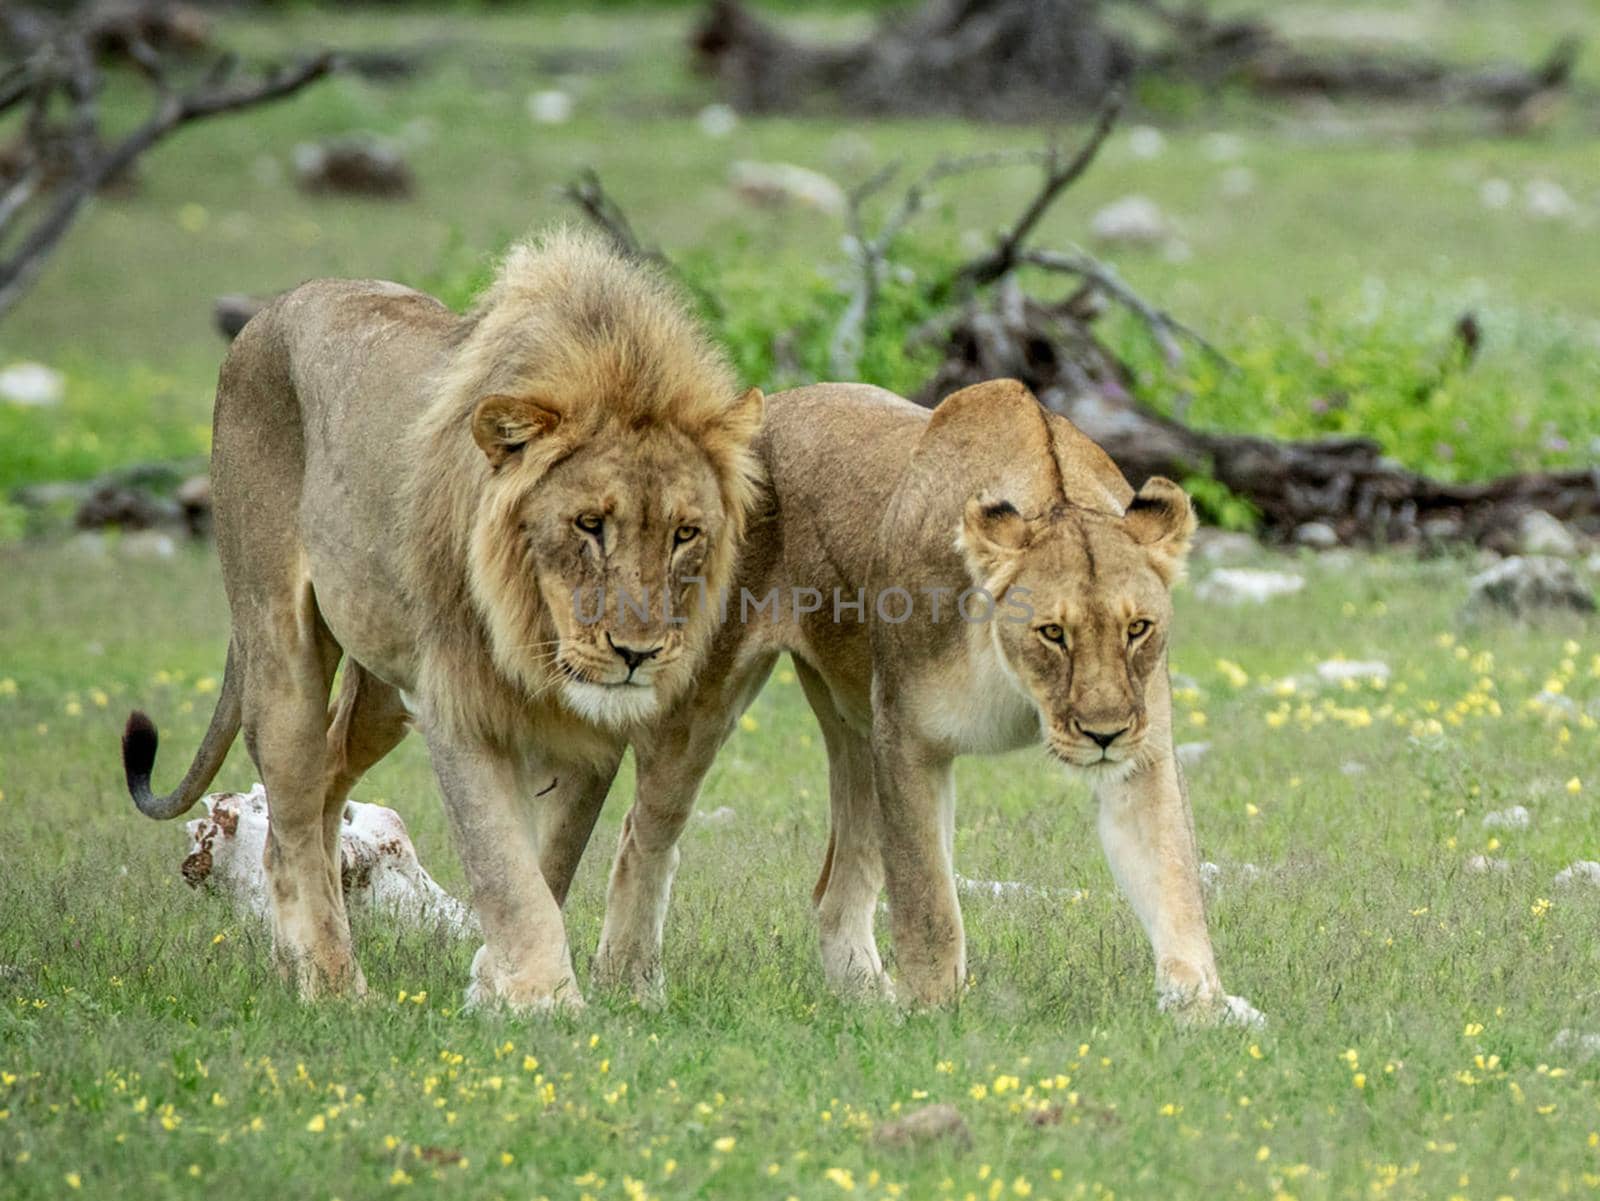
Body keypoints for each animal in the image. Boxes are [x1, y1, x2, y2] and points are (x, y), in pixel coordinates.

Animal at [121, 230, 758, 1010]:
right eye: (589, 524)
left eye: (684, 534)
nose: (637, 653)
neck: (532, 631)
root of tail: (269, 312)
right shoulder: (458, 706)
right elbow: (506, 871)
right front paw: (544, 1002)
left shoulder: (591, 735)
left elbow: (548, 862)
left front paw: (493, 982)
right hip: (278, 636)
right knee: (294, 807)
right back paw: (334, 986)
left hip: (383, 694)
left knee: (320, 791)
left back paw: (288, 966)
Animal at [595, 375, 1254, 1023]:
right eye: (1052, 633)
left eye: (1137, 628)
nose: (1104, 734)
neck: (1017, 683)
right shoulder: (909, 738)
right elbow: (927, 896)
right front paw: (936, 1014)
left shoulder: (1144, 752)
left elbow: (1172, 878)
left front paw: (1204, 1007)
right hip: (708, 699)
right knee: (642, 836)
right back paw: (629, 987)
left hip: (857, 726)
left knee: (835, 890)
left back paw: (866, 1000)